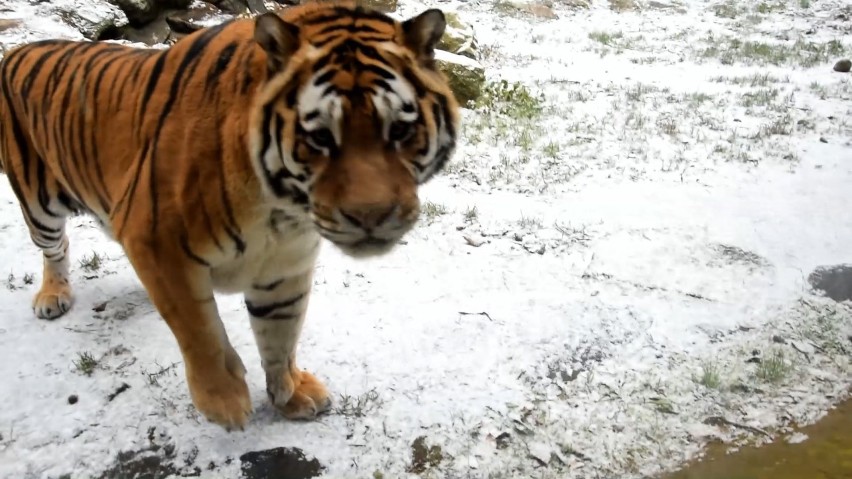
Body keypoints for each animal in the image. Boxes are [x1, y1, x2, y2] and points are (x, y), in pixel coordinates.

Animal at [0, 0, 460, 434]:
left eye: (399, 130)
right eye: (319, 138)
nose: (372, 215)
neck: (282, 210)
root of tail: (19, 48)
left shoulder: (284, 268)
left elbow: (280, 337)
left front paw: (290, 393)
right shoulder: (157, 242)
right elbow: (199, 329)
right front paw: (224, 401)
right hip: (40, 203)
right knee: (55, 246)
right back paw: (53, 296)